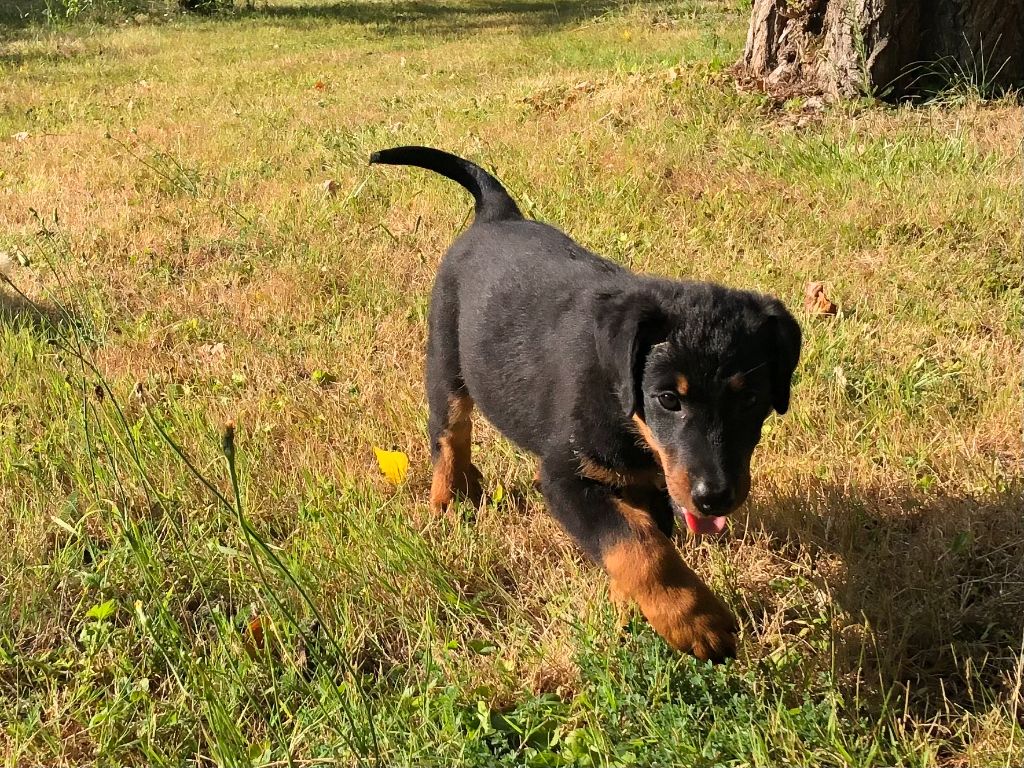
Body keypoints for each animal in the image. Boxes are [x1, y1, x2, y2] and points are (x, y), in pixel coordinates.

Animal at [368, 147, 798, 663]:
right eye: (668, 399)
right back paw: (448, 499)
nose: (713, 497)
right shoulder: (566, 477)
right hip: (445, 359)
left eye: (750, 399)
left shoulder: (648, 485)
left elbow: (642, 541)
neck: (624, 410)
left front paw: (633, 615)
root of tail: (498, 214)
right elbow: (638, 545)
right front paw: (696, 621)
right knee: (449, 434)